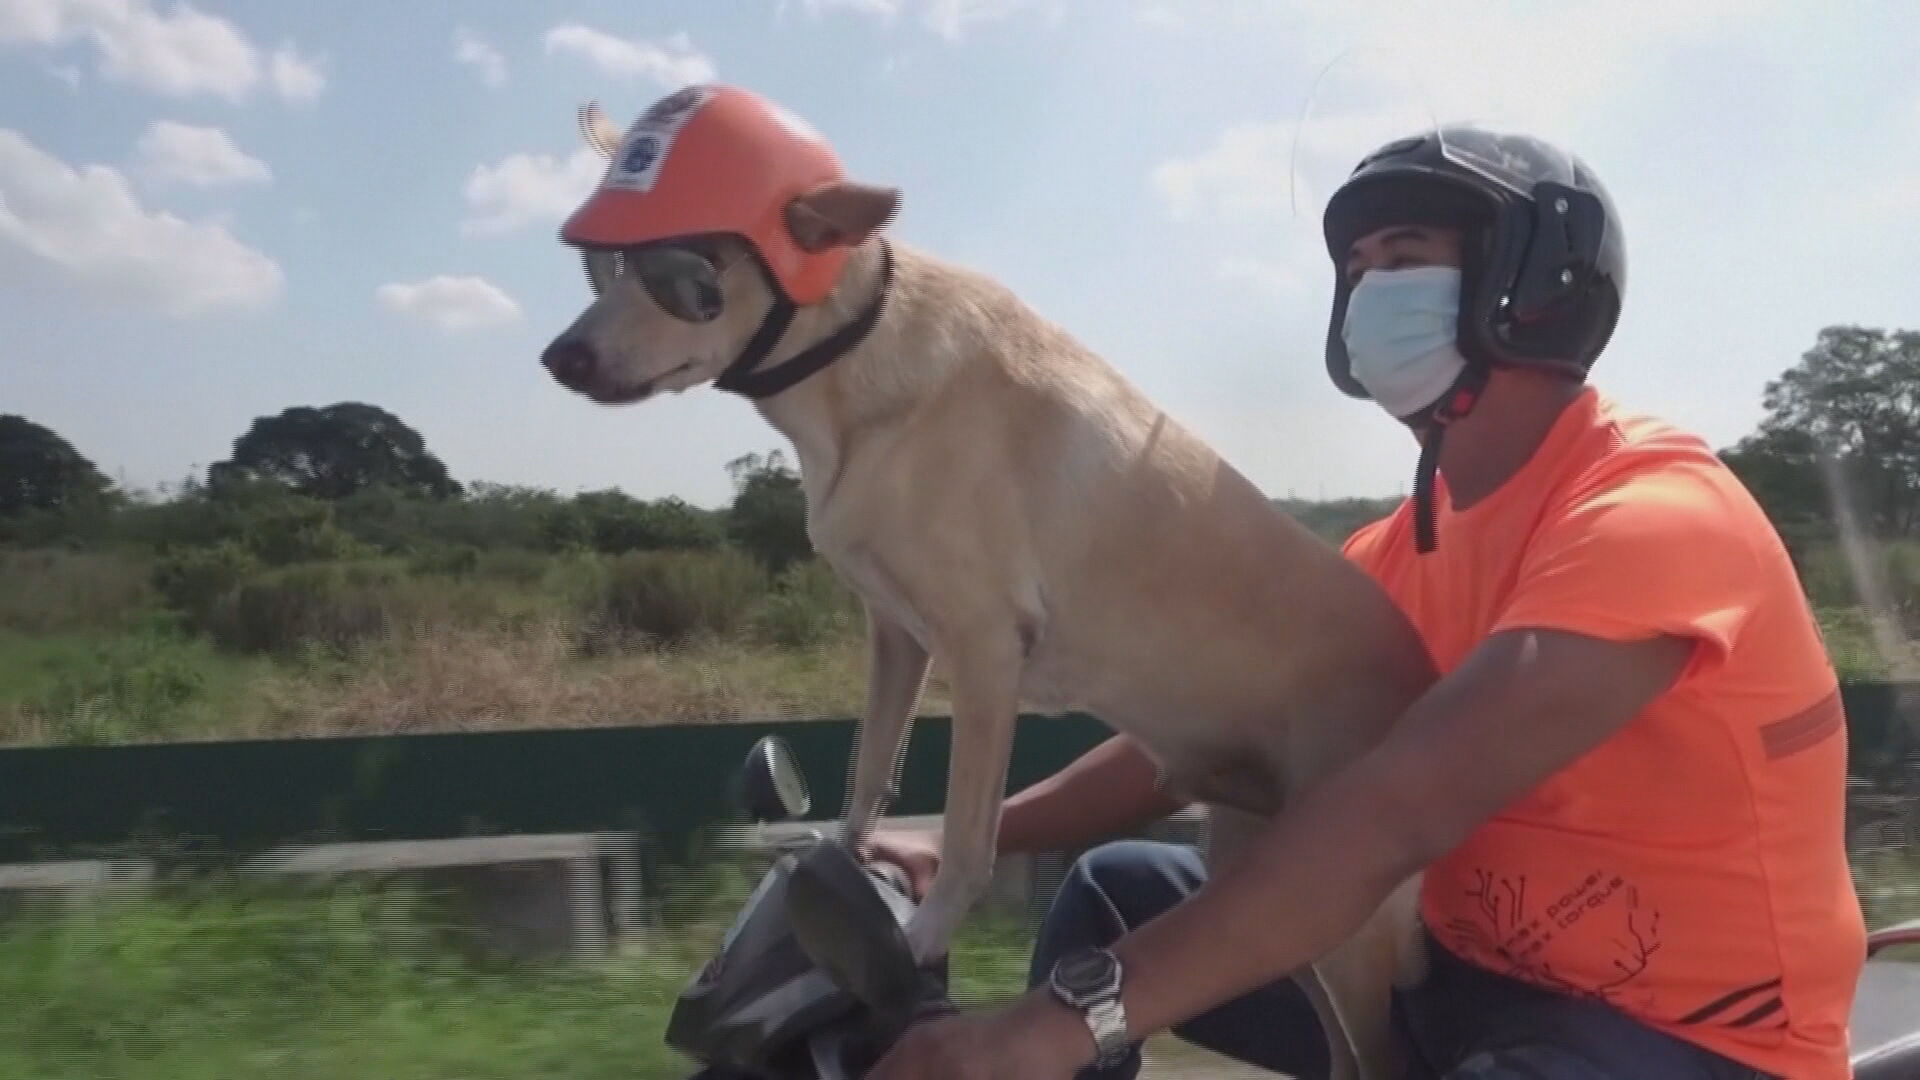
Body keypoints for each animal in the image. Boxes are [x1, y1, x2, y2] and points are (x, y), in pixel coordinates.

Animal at [545, 96, 1443, 1068]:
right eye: (604, 269)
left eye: (683, 273)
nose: (561, 358)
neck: (853, 370)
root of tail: (1424, 672)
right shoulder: (896, 633)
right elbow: (869, 770)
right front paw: (849, 860)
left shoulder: (982, 651)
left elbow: (973, 839)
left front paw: (913, 951)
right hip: (1266, 880)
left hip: (1348, 915)